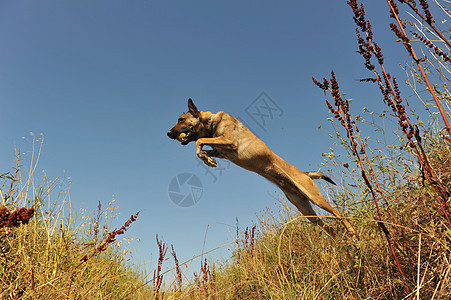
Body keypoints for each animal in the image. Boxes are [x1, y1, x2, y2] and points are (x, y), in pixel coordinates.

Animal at [167, 99, 356, 236]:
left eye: (181, 120)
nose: (168, 133)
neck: (212, 122)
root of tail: (303, 174)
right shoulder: (221, 150)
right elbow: (202, 147)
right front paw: (206, 159)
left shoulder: (229, 142)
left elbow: (199, 141)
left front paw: (205, 157)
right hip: (306, 210)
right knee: (328, 228)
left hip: (315, 198)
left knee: (338, 214)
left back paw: (352, 232)